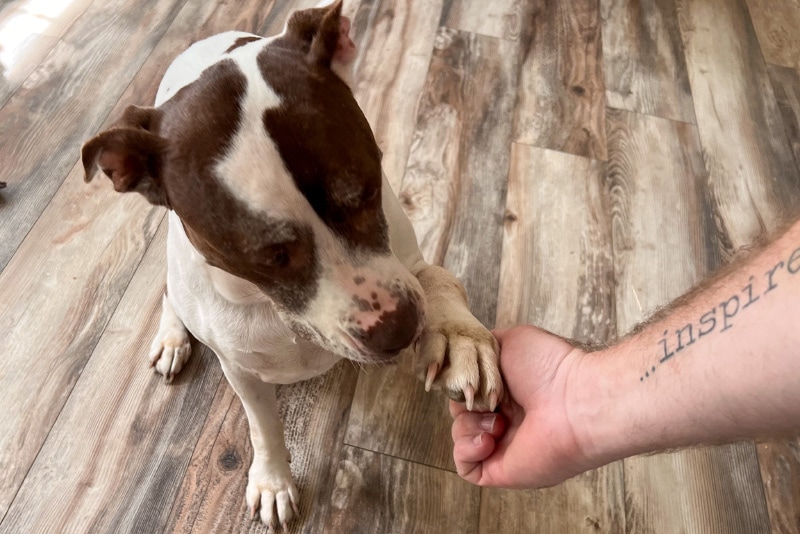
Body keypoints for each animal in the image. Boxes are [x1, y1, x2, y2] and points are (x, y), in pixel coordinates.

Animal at [84, 2, 504, 532]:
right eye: (268, 257)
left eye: (369, 189)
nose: (400, 329)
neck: (273, 309)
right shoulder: (241, 369)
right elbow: (262, 426)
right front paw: (272, 480)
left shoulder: (404, 260)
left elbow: (434, 278)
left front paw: (457, 336)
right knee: (169, 293)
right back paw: (173, 336)